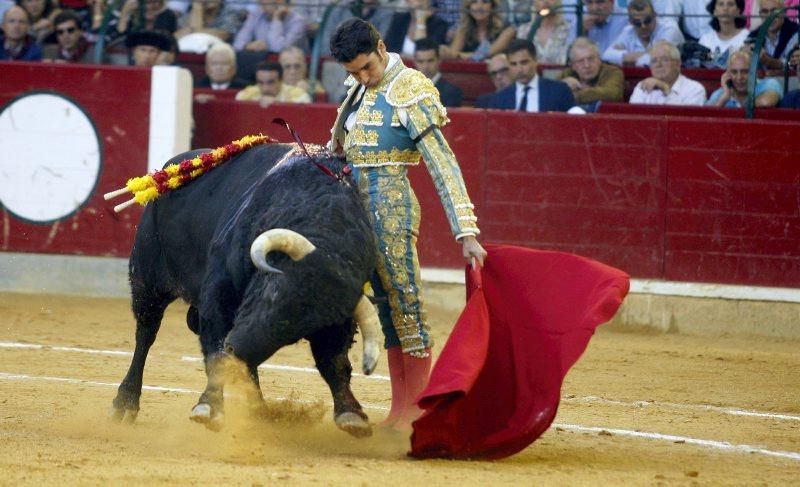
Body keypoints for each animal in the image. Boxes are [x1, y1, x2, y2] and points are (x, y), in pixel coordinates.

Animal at [109, 142, 382, 438]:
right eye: (268, 296)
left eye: (295, 334)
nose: (236, 348)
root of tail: (171, 166)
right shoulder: (219, 294)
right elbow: (215, 353)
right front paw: (209, 407)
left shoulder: (336, 320)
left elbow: (334, 364)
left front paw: (351, 413)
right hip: (147, 279)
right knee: (146, 334)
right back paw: (125, 403)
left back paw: (259, 411)